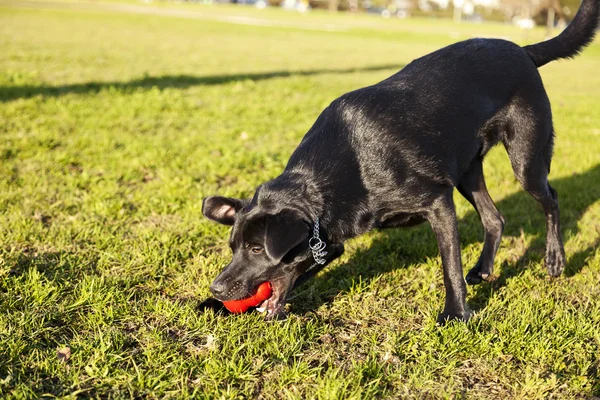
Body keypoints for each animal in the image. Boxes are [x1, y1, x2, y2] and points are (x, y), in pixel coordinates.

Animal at [203, 0, 600, 320]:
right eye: (233, 247)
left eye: (257, 248)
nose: (217, 288)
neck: (326, 180)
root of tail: (523, 50)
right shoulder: (330, 241)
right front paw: (211, 306)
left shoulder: (438, 204)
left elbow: (449, 268)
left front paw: (456, 314)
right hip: (467, 172)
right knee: (495, 218)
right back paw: (484, 268)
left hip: (526, 160)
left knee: (551, 200)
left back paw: (555, 259)